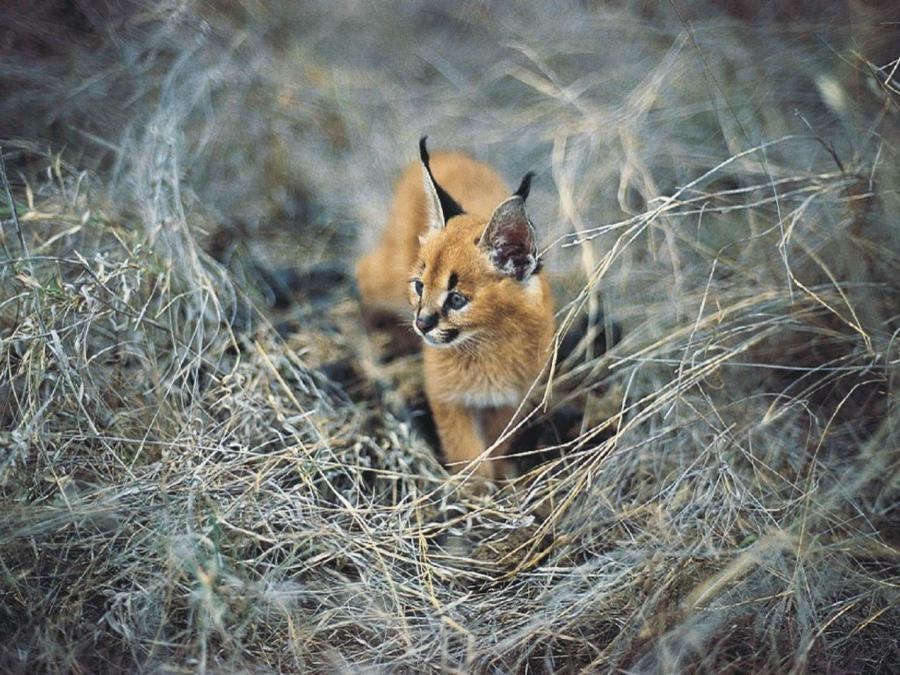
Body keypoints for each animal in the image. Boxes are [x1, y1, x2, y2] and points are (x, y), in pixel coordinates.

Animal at [356, 139, 556, 480]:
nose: (422, 323)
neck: (488, 343)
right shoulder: (446, 395)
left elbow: (495, 442)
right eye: (419, 286)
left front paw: (497, 477)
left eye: (457, 300)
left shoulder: (513, 398)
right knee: (361, 271)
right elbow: (464, 449)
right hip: (387, 274)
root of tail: (451, 153)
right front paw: (473, 489)